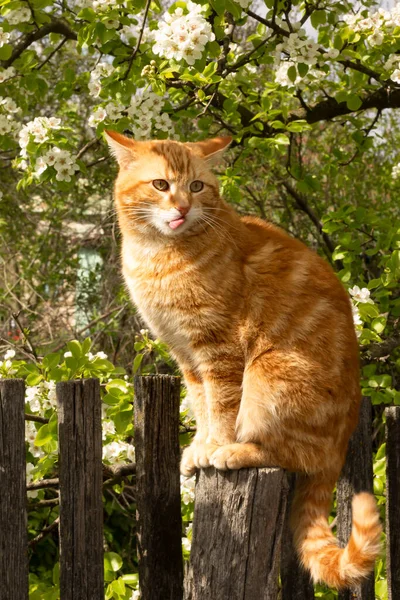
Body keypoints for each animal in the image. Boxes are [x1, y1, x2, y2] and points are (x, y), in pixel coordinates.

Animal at [106, 131, 382, 592]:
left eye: (197, 186)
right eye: (161, 185)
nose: (183, 207)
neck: (157, 255)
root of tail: (340, 447)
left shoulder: (219, 350)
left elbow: (220, 406)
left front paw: (215, 447)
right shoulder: (187, 356)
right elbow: (201, 405)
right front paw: (199, 446)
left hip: (268, 376)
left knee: (291, 455)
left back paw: (238, 452)